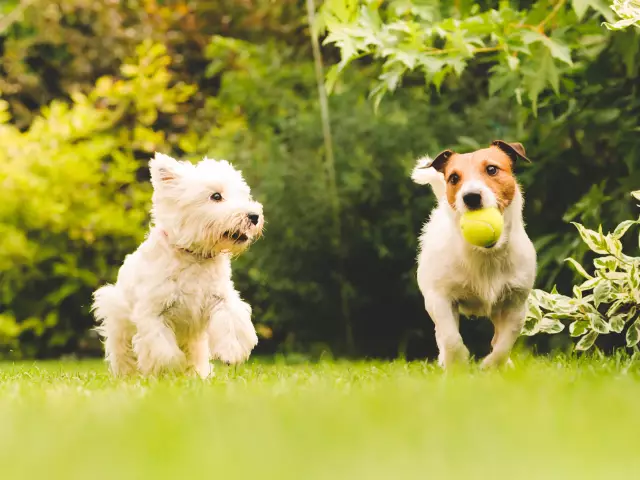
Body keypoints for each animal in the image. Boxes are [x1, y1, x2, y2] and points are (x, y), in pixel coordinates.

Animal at [91, 154, 264, 378]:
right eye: (216, 196)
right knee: (123, 354)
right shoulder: (153, 312)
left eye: (243, 194)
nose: (254, 216)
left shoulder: (220, 297)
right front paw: (170, 371)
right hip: (118, 321)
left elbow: (231, 321)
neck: (194, 256)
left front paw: (231, 352)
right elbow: (164, 351)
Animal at [410, 141, 536, 370]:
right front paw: (458, 363)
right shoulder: (440, 298)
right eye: (453, 178)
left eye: (492, 169)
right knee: (441, 334)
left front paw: (491, 365)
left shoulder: (516, 303)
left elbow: (505, 342)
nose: (471, 197)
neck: (486, 254)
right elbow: (451, 338)